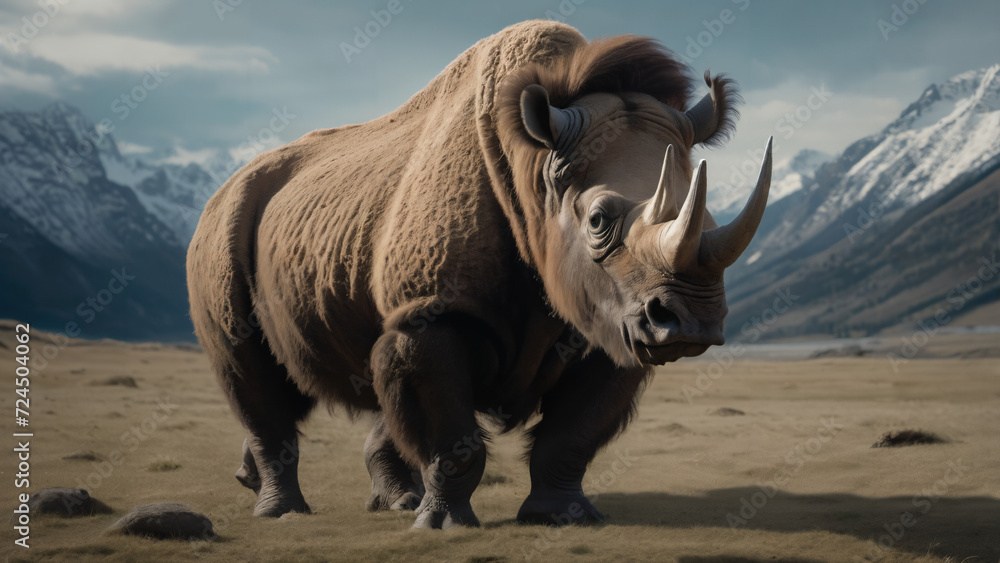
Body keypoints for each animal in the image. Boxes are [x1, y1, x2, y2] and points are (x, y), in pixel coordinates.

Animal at [186, 20, 771, 529]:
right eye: (599, 221)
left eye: (715, 219)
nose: (693, 321)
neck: (535, 170)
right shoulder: (430, 310)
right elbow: (451, 435)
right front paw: (443, 526)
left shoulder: (613, 320)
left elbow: (573, 435)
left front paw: (563, 518)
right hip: (220, 227)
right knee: (244, 364)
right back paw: (282, 514)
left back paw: (385, 502)